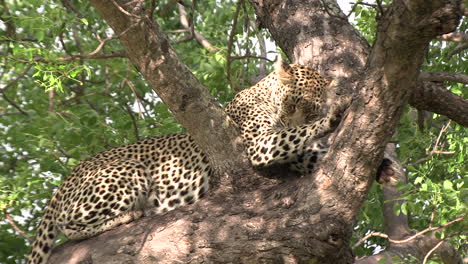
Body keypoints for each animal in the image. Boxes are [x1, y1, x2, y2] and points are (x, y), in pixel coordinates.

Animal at [25, 57, 348, 264]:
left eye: (311, 109)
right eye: (293, 103)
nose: (291, 118)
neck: (264, 96)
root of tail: (68, 177)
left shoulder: (291, 152)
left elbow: (307, 147)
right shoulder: (259, 144)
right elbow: (295, 135)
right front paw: (333, 118)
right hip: (127, 172)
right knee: (69, 226)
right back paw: (129, 216)